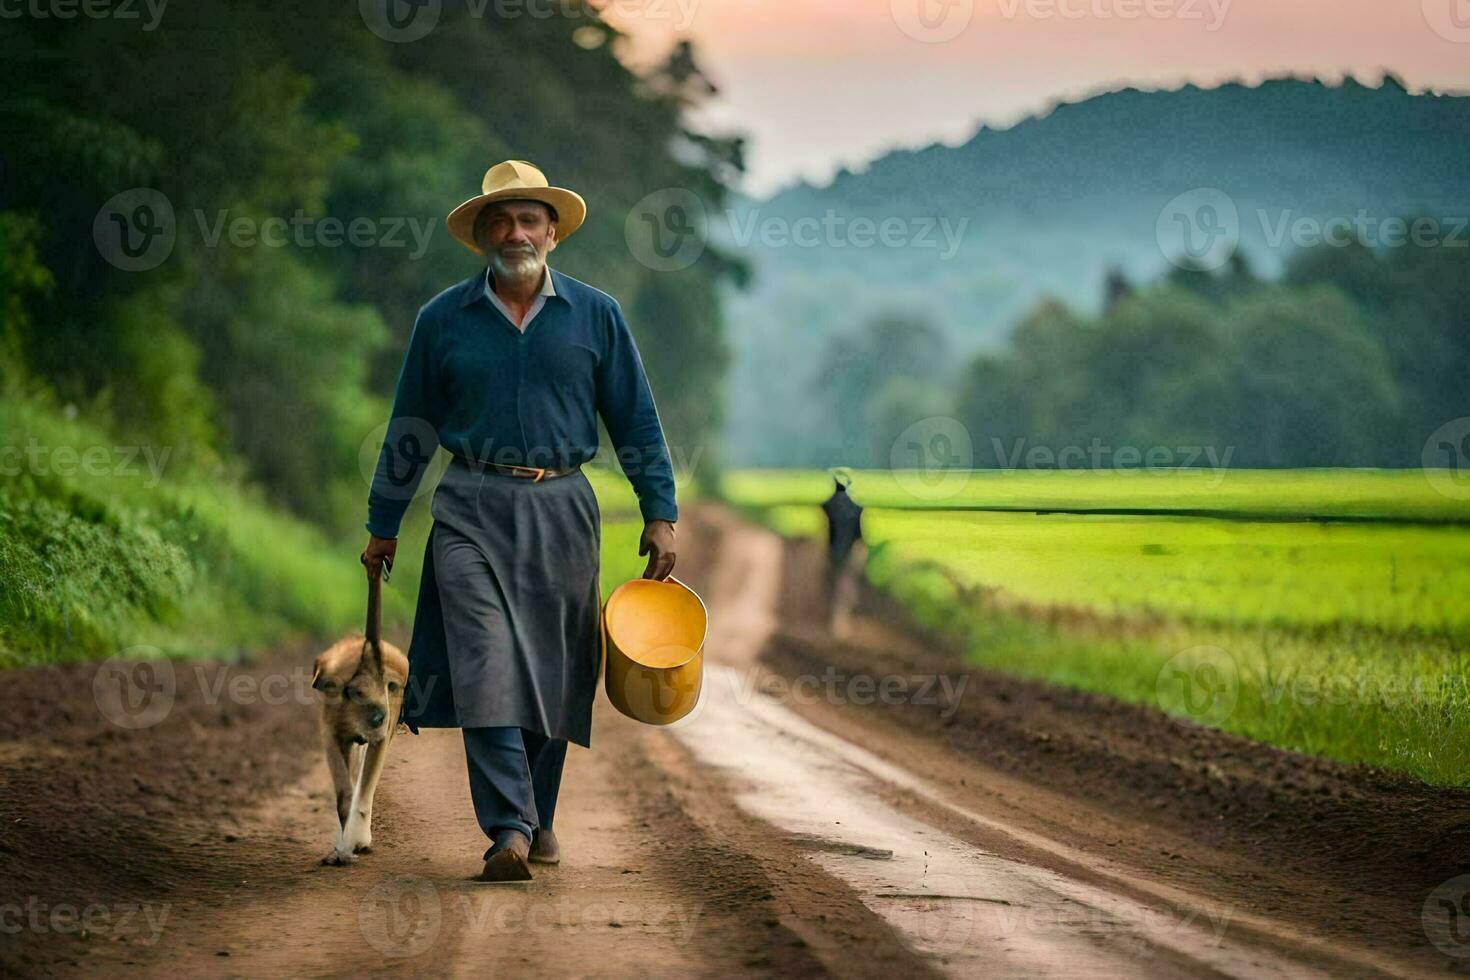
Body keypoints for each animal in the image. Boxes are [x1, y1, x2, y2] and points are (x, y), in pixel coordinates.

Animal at [313, 567, 408, 863]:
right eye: (354, 691)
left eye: (391, 685)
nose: (379, 715)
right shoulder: (330, 731)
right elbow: (345, 791)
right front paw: (341, 850)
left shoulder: (381, 734)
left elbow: (364, 788)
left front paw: (353, 845)